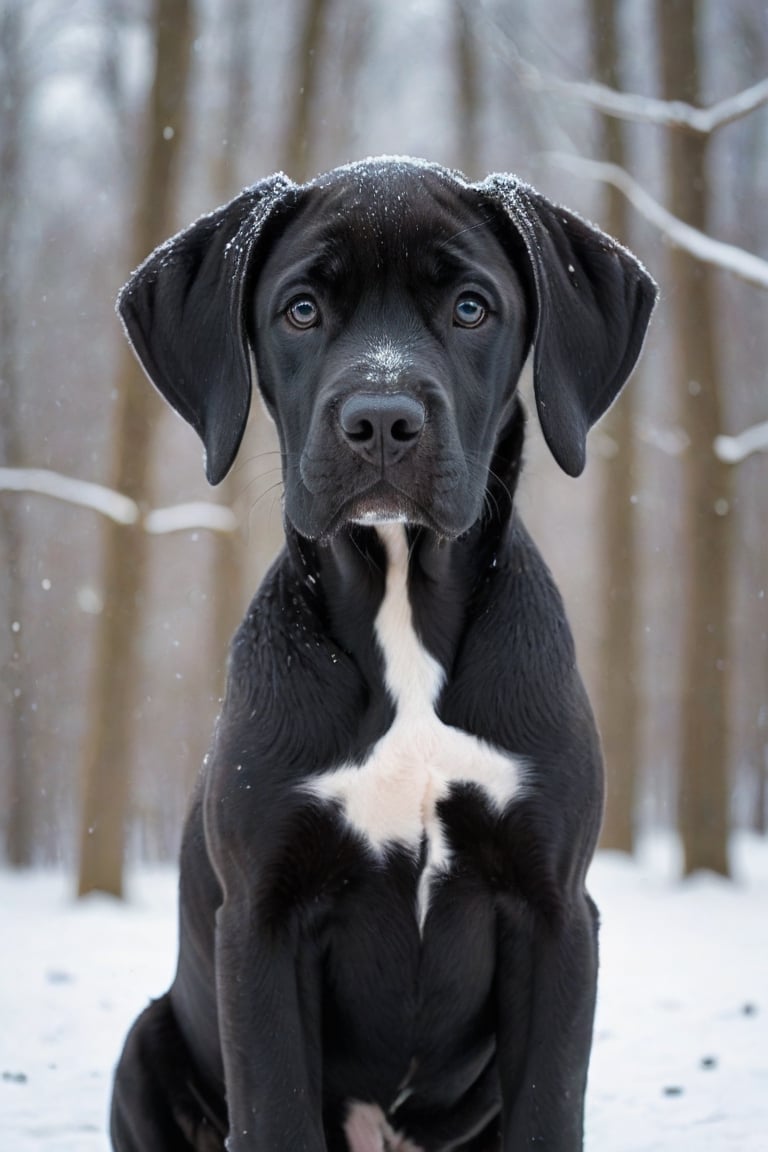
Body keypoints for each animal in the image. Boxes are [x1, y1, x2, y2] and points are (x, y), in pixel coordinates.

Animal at [111, 155, 658, 1152]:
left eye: (473, 308)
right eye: (300, 310)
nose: (380, 421)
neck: (403, 606)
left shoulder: (556, 910)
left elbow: (547, 1110)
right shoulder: (263, 920)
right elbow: (278, 1116)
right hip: (147, 1040)